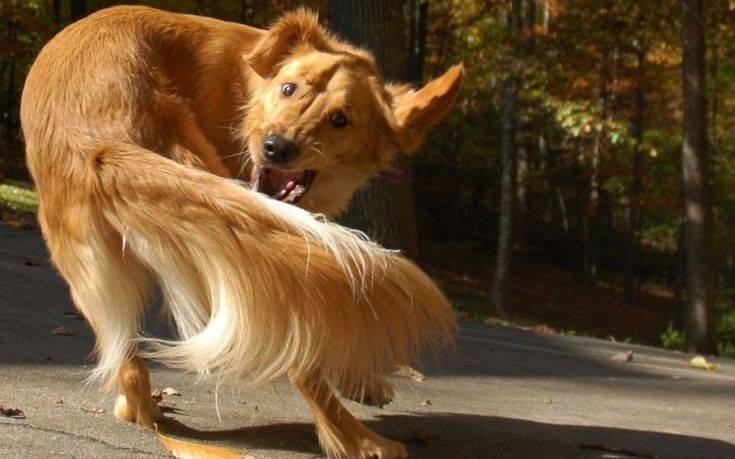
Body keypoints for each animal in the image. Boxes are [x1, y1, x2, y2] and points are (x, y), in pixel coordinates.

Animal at [21, 4, 460, 459]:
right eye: (288, 88)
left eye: (340, 119)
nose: (276, 146)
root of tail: (100, 135)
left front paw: (363, 382)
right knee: (300, 348)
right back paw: (357, 438)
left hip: (99, 268)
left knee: (129, 367)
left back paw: (139, 408)